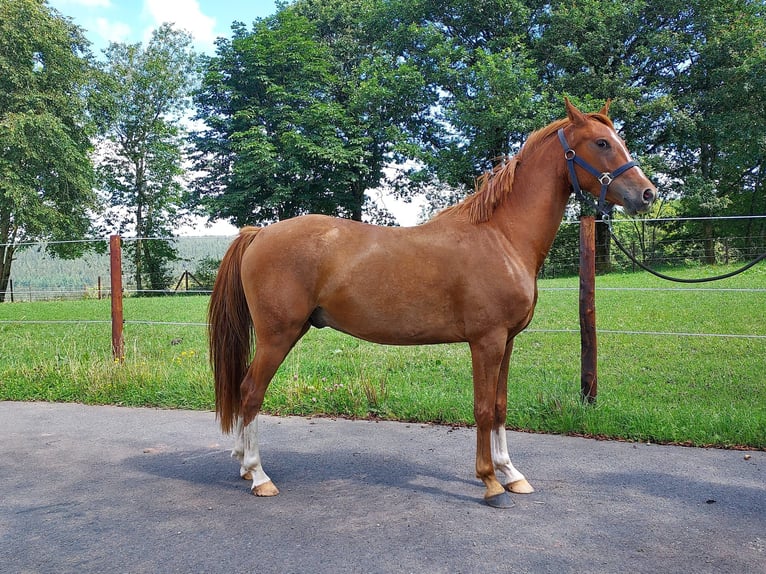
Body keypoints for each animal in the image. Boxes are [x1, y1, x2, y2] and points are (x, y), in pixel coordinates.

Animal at [210, 99, 660, 508]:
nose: (647, 194)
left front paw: (512, 474)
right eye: (602, 143)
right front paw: (490, 483)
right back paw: (259, 476)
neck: (501, 236)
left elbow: (500, 406)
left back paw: (244, 465)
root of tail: (259, 233)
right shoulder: (486, 341)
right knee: (250, 391)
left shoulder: (507, 341)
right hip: (278, 336)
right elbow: (482, 409)